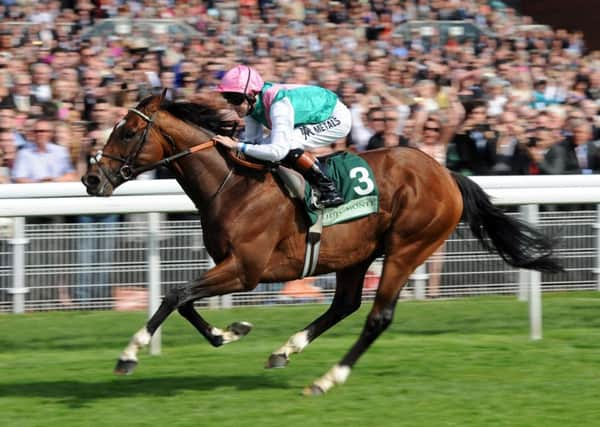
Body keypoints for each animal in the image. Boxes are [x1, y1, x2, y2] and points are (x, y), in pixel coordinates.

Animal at [82, 95, 560, 396]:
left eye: (128, 132)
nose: (90, 179)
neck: (234, 185)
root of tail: (445, 173)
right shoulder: (228, 265)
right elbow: (184, 302)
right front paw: (229, 332)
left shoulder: (246, 269)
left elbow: (174, 294)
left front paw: (128, 355)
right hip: (356, 254)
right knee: (344, 305)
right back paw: (284, 351)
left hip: (408, 247)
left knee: (377, 317)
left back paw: (327, 379)